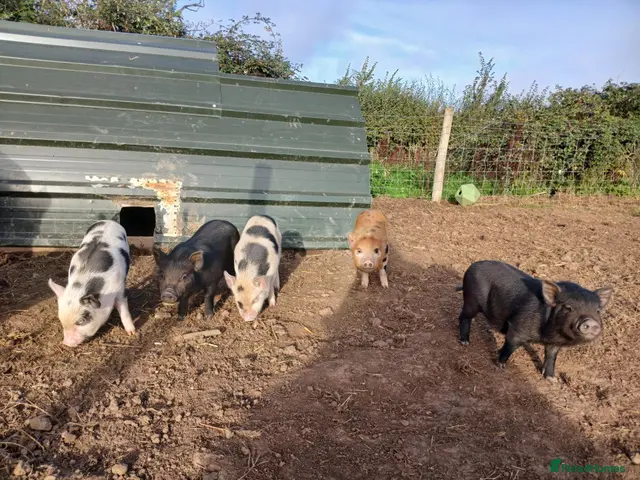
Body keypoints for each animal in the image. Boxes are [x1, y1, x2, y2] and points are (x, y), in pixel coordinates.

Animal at [456, 260, 614, 379]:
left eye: (597, 310)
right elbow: (510, 346)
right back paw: (464, 342)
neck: (547, 335)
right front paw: (500, 365)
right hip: (471, 300)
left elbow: (551, 356)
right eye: (568, 307)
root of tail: (472, 266)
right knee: (464, 317)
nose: (590, 321)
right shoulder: (517, 328)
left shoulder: (554, 343)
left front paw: (551, 378)